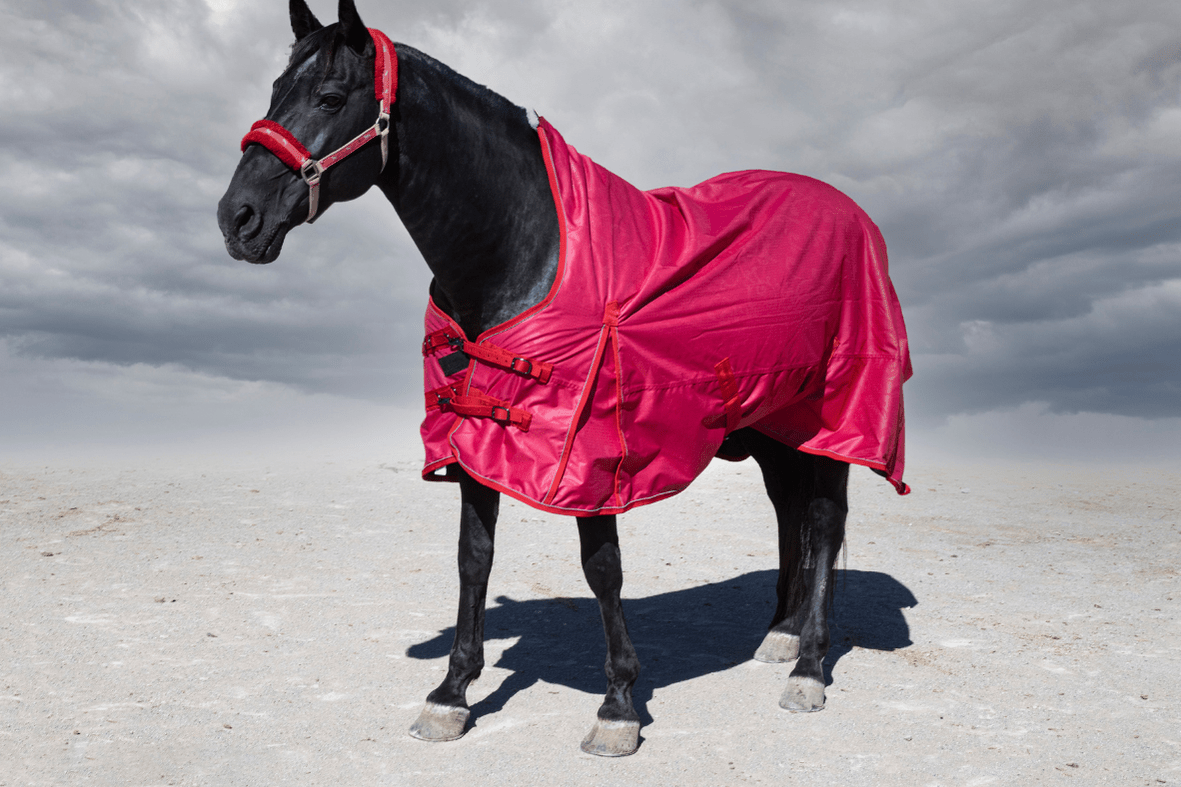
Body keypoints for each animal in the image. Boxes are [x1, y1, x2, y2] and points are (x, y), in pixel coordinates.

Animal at [217, 0, 911, 757]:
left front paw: (618, 706)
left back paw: (808, 666)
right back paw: (780, 635)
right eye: (274, 91)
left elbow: (602, 568)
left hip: (831, 416)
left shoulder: (590, 453)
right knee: (791, 512)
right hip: (769, 424)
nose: (236, 217)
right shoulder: (475, 434)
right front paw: (450, 693)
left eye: (331, 97)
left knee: (822, 520)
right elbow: (473, 557)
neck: (523, 251)